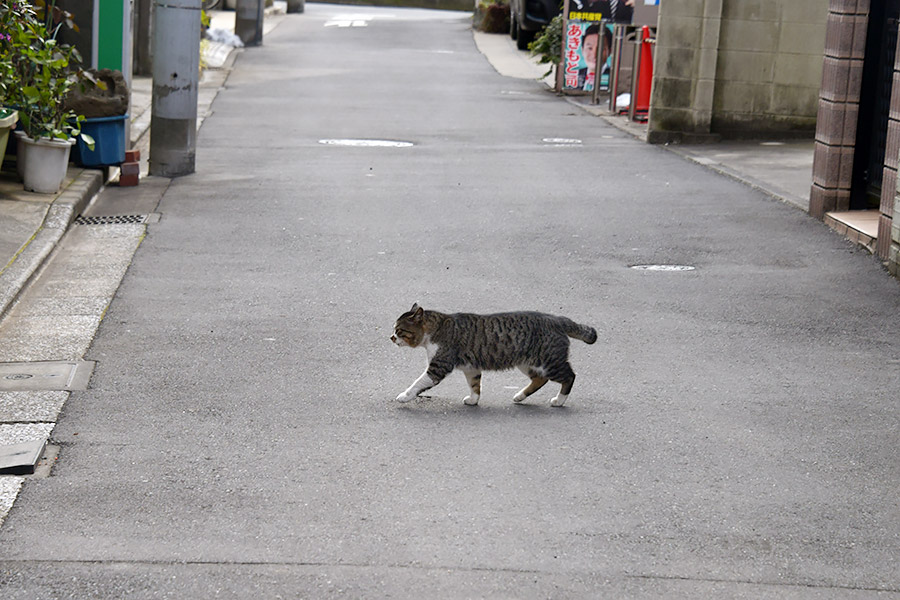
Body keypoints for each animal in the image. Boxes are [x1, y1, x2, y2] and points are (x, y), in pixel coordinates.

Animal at [388, 304, 596, 408]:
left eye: (399, 330)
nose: (391, 337)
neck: (437, 328)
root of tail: (558, 320)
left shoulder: (439, 366)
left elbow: (418, 383)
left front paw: (404, 396)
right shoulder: (471, 368)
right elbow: (475, 385)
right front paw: (473, 400)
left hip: (550, 362)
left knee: (569, 376)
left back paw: (559, 401)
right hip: (528, 363)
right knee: (540, 380)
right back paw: (520, 396)